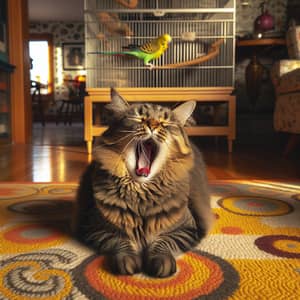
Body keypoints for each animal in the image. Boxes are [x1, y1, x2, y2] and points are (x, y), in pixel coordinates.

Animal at [72, 88, 213, 278]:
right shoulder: (95, 228)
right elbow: (120, 241)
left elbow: (164, 243)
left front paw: (162, 261)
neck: (141, 194)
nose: (152, 125)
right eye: (139, 118)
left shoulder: (187, 229)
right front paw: (127, 260)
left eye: (165, 123)